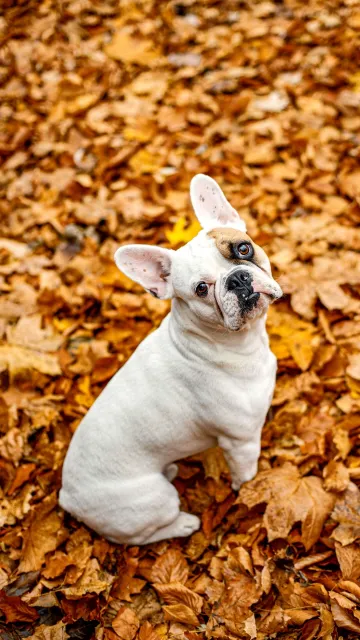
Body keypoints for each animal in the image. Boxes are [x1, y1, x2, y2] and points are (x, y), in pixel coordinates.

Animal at [59, 175, 282, 544]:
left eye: (243, 249)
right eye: (201, 289)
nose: (237, 278)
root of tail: (67, 498)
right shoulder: (241, 442)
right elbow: (246, 475)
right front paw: (250, 489)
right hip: (156, 500)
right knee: (140, 537)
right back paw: (184, 524)